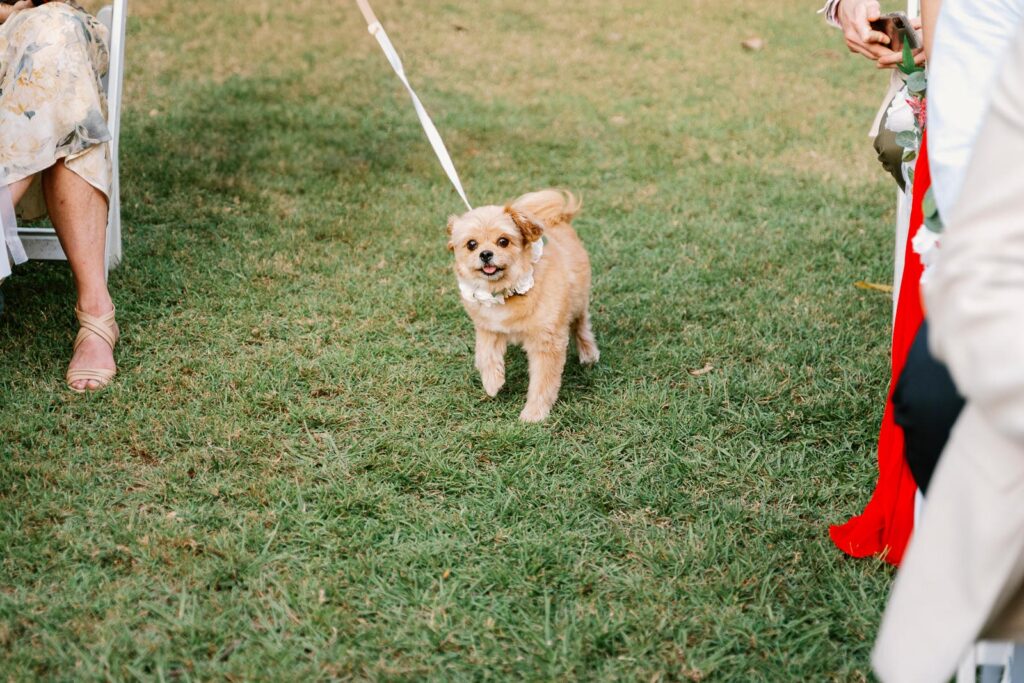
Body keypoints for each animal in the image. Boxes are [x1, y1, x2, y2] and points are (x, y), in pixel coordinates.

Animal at [444, 188, 598, 421]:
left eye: (503, 241)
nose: (485, 254)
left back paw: (588, 353)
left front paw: (534, 413)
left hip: (577, 300)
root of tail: (558, 218)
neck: (505, 292)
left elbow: (543, 381)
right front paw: (492, 382)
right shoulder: (489, 328)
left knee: (580, 325)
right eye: (472, 244)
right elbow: (484, 354)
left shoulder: (546, 342)